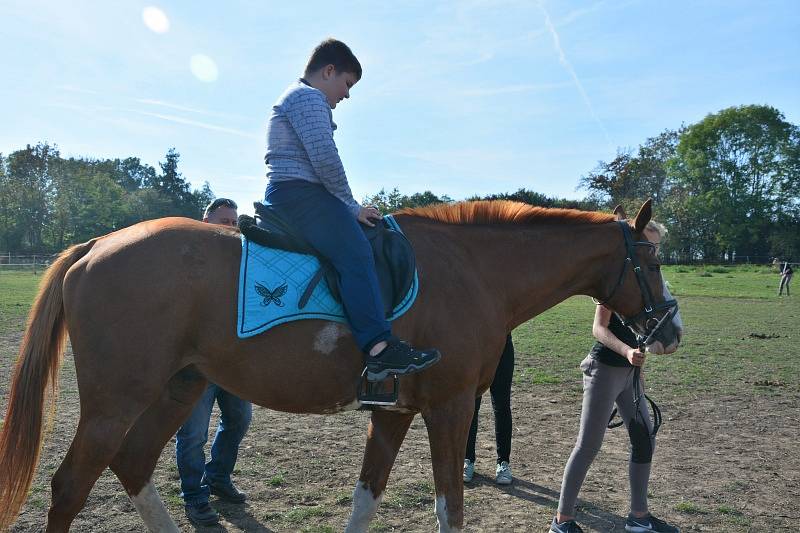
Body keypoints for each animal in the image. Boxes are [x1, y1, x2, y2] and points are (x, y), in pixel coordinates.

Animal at [0, 198, 680, 532]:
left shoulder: (396, 412)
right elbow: (451, 508)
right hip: (117, 400)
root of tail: (98, 244)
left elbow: (365, 500)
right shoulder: (450, 407)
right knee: (70, 486)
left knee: (133, 464)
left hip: (176, 389)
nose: (670, 330)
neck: (470, 270)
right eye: (649, 261)